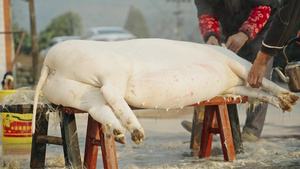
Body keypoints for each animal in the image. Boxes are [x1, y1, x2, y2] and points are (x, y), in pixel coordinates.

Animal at [31, 39, 298, 145]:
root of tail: (49, 63)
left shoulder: (233, 86)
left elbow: (257, 92)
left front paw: (287, 103)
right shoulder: (235, 63)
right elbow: (261, 80)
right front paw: (293, 98)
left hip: (75, 92)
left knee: (100, 106)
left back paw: (121, 135)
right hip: (111, 69)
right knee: (112, 93)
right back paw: (137, 132)